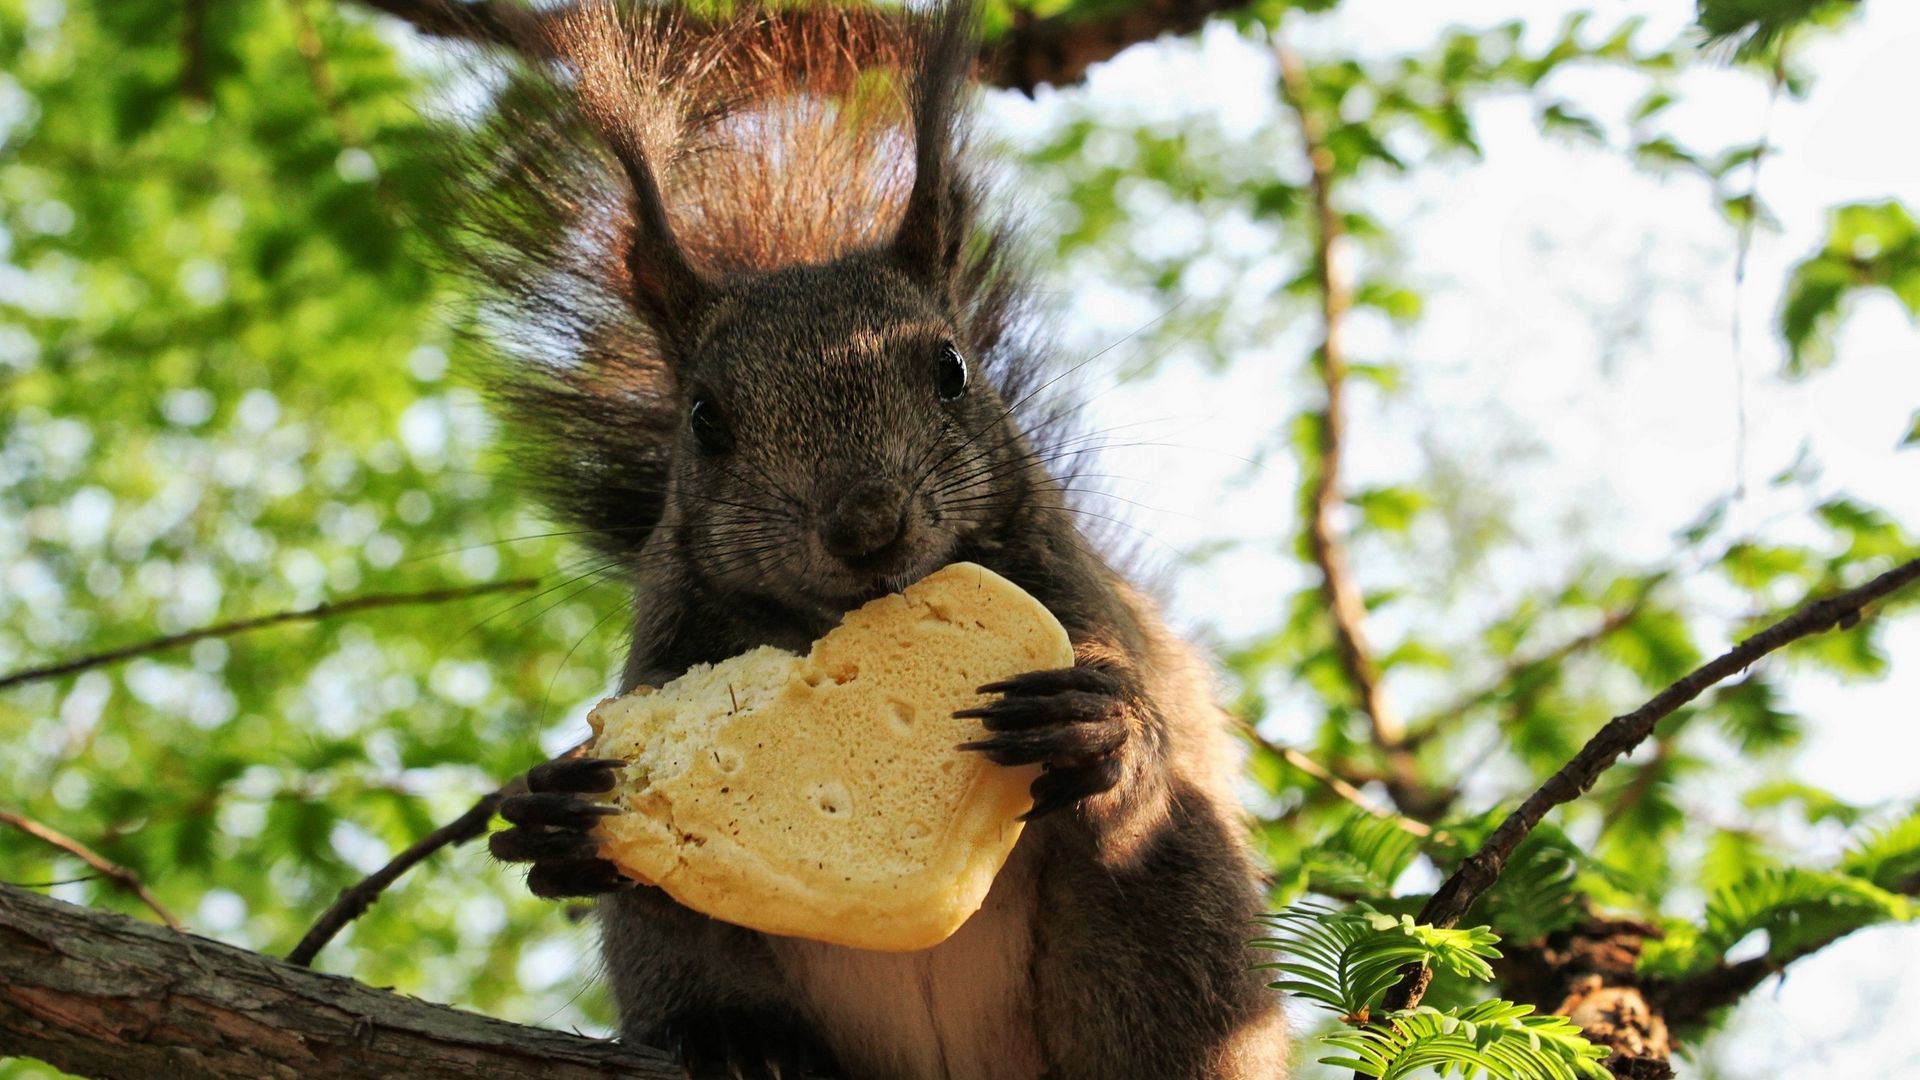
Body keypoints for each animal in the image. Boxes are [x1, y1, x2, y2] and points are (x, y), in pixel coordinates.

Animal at [453, 2, 1290, 1076]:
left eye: (952, 370)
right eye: (703, 420)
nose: (864, 525)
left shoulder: (1078, 598)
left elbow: (1143, 727)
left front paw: (1100, 722)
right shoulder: (665, 651)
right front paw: (553, 816)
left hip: (1176, 915)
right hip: (680, 962)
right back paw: (736, 1041)